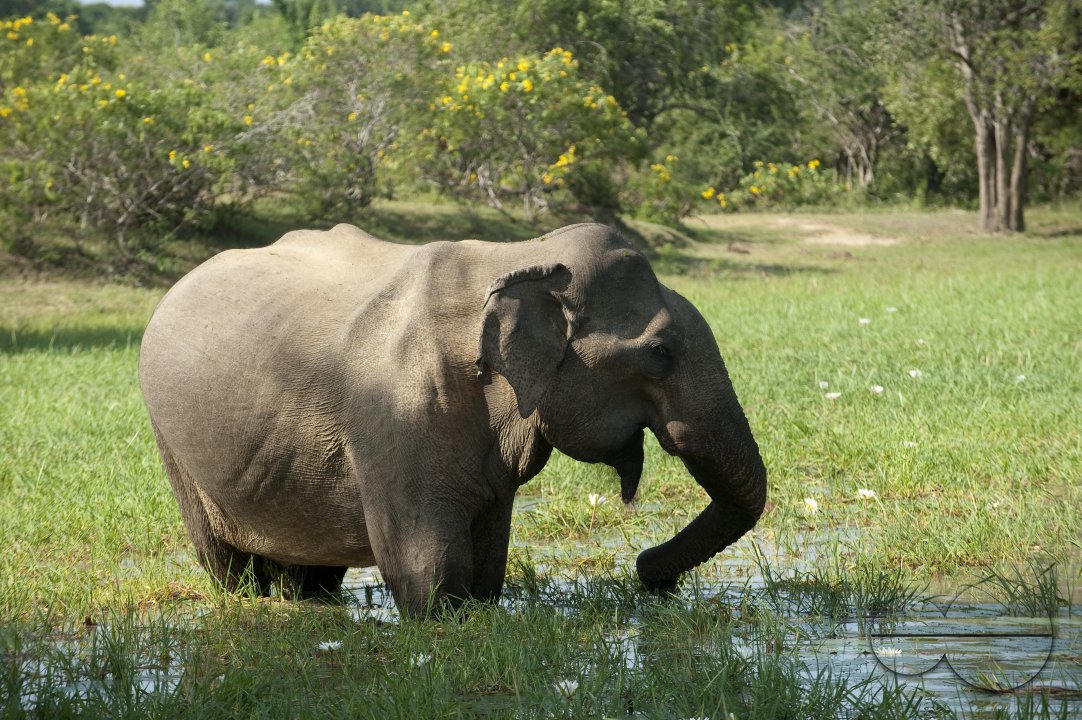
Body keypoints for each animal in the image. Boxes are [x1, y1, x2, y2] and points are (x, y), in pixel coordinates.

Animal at [139, 222, 767, 617]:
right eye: (661, 352)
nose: (646, 570)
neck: (517, 256)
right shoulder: (394, 417)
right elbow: (430, 569)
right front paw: (441, 618)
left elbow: (488, 557)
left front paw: (479, 608)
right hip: (172, 445)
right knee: (225, 564)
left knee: (311, 572)